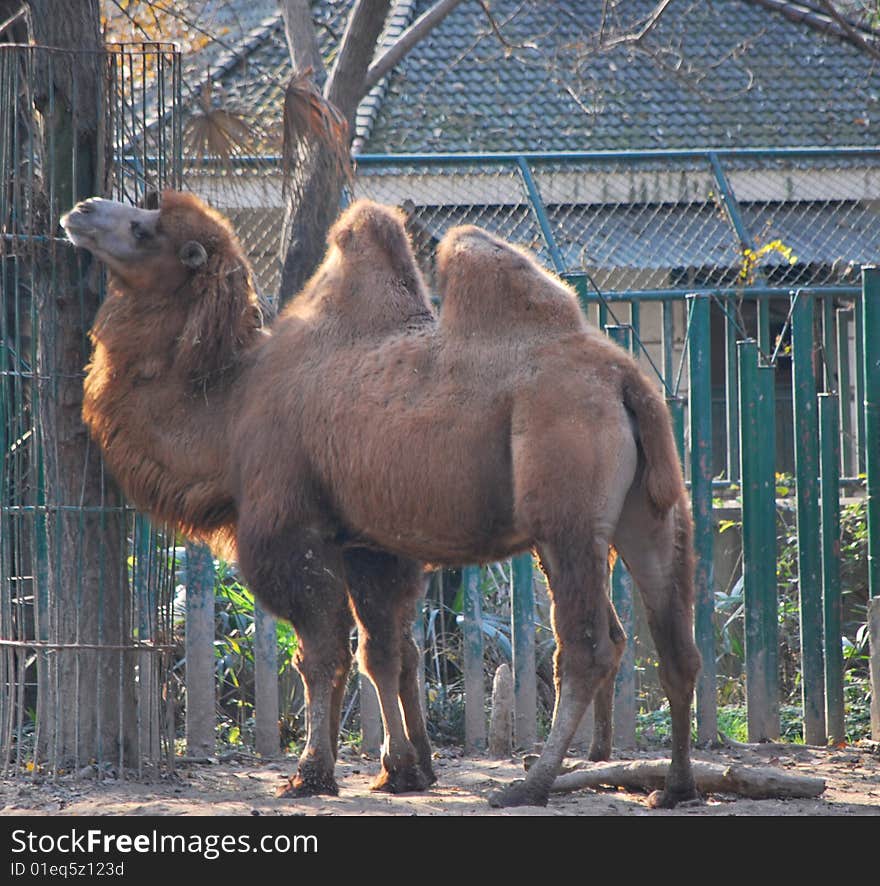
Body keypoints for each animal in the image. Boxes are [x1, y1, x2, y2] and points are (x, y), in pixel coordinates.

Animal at [62, 191, 700, 808]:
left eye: (146, 229)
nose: (82, 211)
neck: (228, 411)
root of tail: (627, 380)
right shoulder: (369, 543)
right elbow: (385, 652)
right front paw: (404, 769)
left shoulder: (293, 528)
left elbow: (322, 653)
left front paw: (311, 773)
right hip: (651, 513)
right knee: (673, 641)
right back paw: (673, 786)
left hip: (565, 515)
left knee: (589, 646)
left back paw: (530, 784)